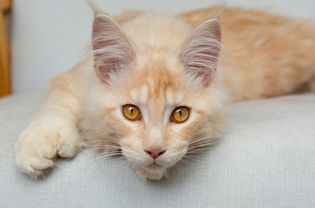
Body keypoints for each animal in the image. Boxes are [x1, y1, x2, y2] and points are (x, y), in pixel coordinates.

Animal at [15, 4, 315, 180]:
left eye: (181, 115)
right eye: (131, 112)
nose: (155, 151)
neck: (156, 38)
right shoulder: (72, 78)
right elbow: (58, 104)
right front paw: (39, 143)